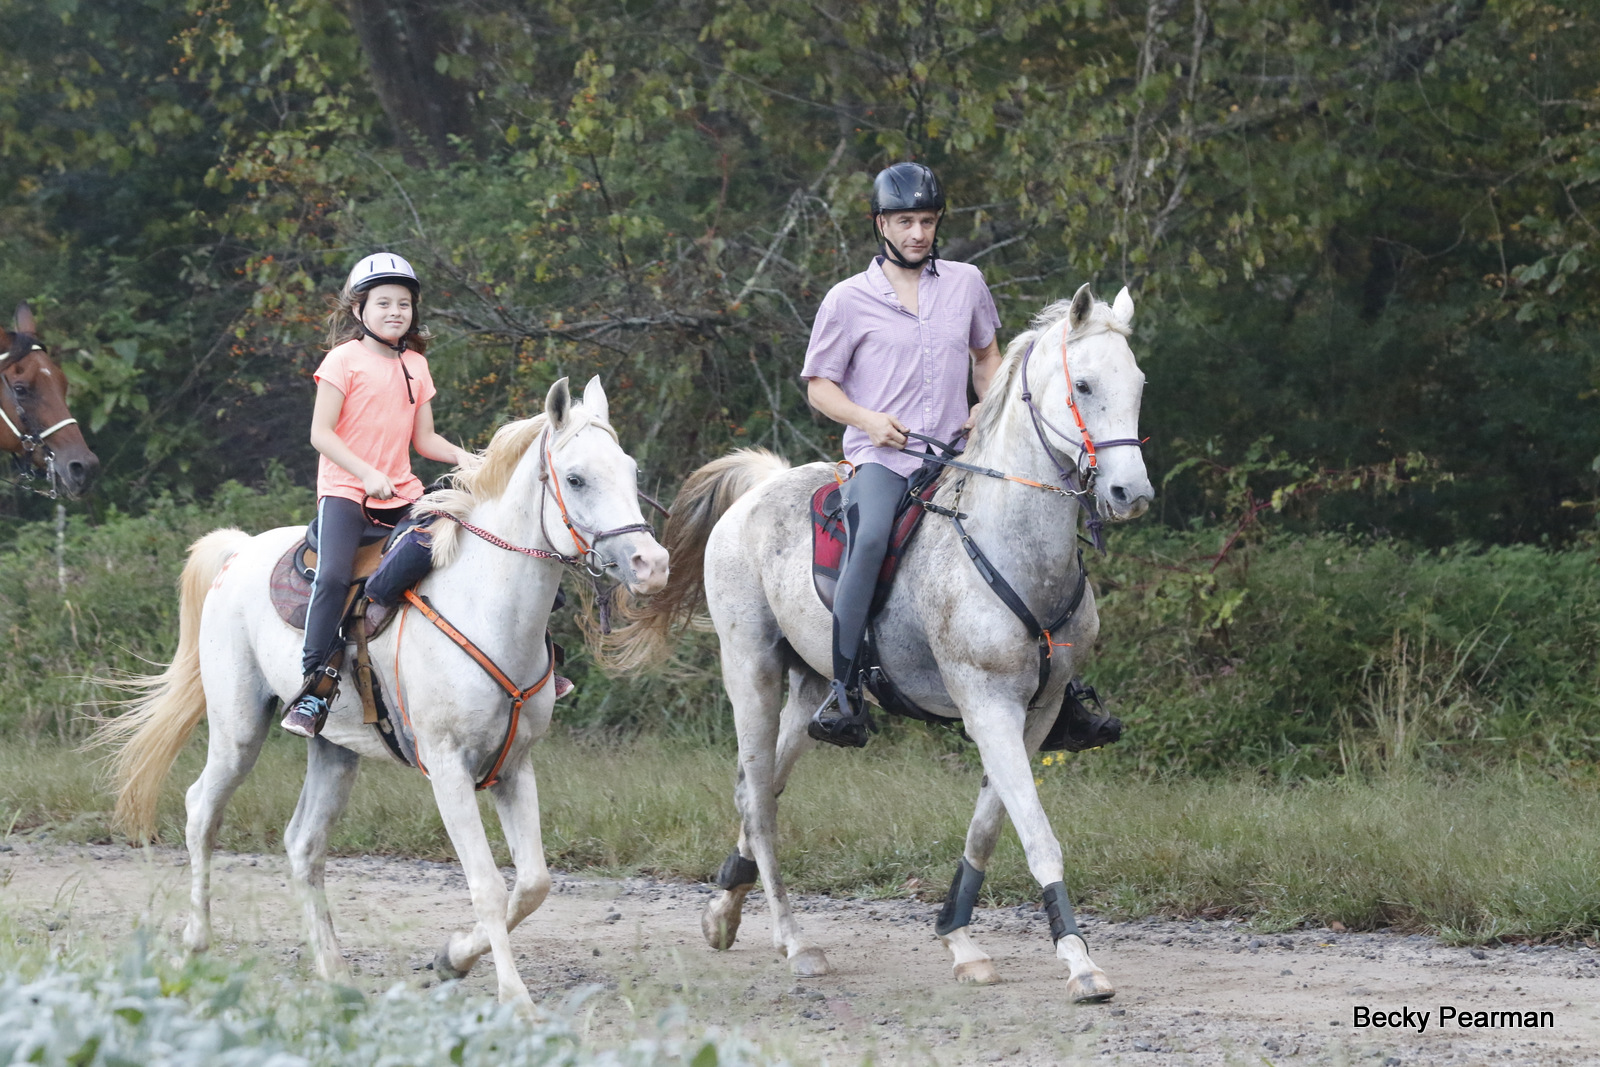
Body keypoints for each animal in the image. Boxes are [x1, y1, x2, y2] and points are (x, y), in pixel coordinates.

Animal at [96, 377, 665, 1011]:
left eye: (632, 471)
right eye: (577, 478)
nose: (652, 564)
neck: (486, 602)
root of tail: (239, 551)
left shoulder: (514, 766)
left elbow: (534, 883)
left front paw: (452, 958)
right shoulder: (447, 767)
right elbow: (488, 886)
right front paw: (515, 998)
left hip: (333, 750)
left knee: (303, 844)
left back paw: (333, 971)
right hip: (237, 730)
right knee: (201, 811)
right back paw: (196, 943)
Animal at [611, 283, 1152, 1004]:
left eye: (1138, 383)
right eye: (1084, 384)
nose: (1131, 492)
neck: (1012, 542)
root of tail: (761, 486)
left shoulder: (1035, 712)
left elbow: (988, 826)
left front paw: (958, 936)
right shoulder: (987, 704)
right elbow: (1037, 834)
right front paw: (1079, 962)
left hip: (811, 686)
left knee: (768, 786)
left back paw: (724, 907)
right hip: (751, 671)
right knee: (756, 796)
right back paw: (795, 941)